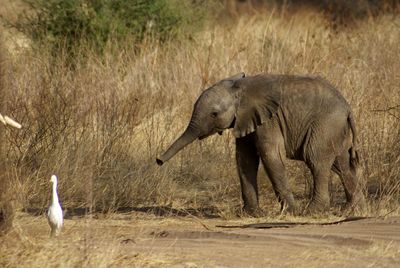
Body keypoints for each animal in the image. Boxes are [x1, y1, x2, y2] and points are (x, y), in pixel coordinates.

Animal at [156, 73, 366, 216]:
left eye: (214, 114)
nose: (158, 160)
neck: (240, 87)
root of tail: (348, 108)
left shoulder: (269, 120)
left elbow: (271, 156)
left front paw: (291, 212)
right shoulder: (244, 119)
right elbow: (245, 159)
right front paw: (252, 214)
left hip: (326, 125)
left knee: (315, 159)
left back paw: (312, 211)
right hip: (336, 130)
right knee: (341, 164)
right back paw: (352, 210)